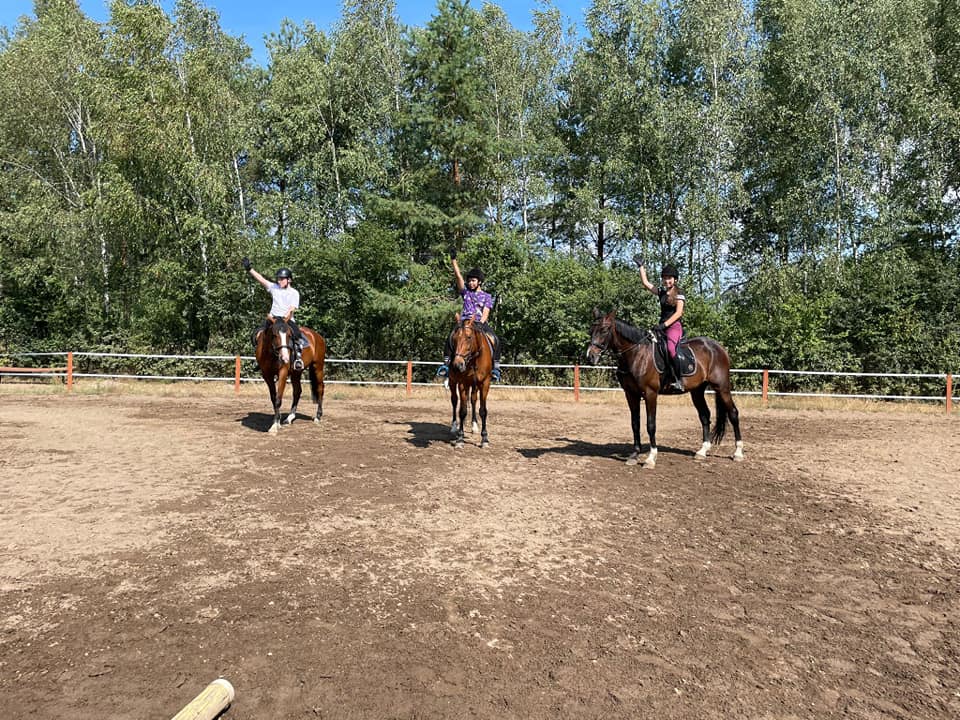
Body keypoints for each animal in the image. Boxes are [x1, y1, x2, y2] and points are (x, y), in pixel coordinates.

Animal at [447, 317, 493, 448]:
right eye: (454, 338)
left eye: (469, 337)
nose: (457, 365)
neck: (473, 360)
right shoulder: (463, 383)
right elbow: (462, 411)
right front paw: (460, 438)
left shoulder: (485, 383)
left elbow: (483, 410)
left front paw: (484, 439)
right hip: (453, 382)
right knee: (454, 400)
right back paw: (454, 426)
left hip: (475, 385)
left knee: (473, 400)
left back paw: (474, 425)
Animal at [585, 308, 743, 468]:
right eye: (591, 330)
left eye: (604, 330)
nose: (590, 357)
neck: (637, 354)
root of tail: (718, 347)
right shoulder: (630, 394)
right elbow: (635, 424)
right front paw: (634, 455)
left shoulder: (650, 394)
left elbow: (651, 425)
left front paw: (650, 458)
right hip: (697, 391)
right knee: (705, 415)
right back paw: (702, 451)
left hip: (722, 387)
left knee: (733, 413)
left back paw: (738, 453)